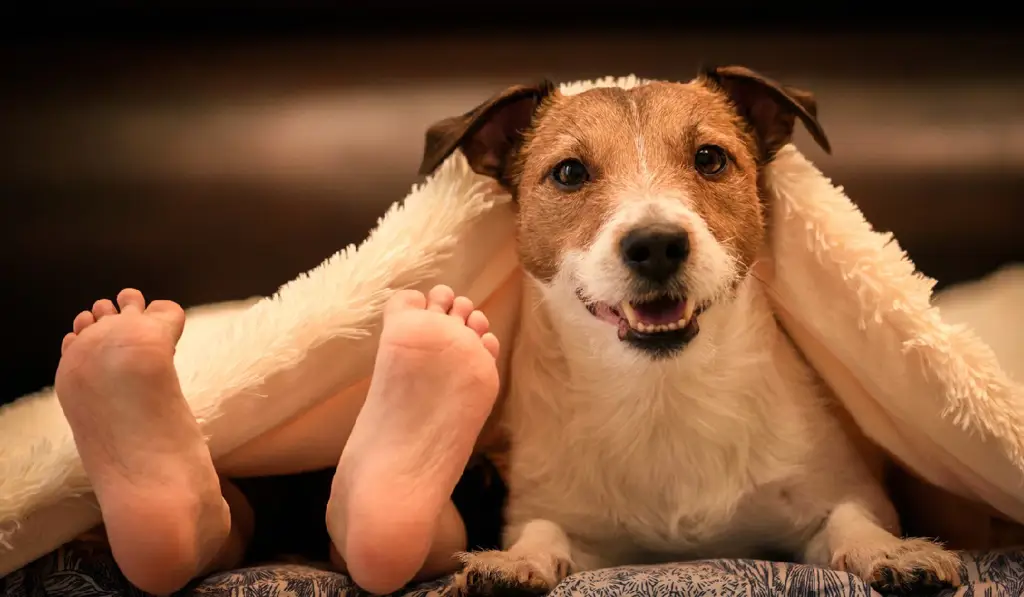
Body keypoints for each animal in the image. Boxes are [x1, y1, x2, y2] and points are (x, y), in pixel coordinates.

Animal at [413, 66, 958, 597]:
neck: (665, 393)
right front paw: (517, 561)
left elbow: (851, 518)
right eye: (569, 172)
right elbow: (542, 530)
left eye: (710, 158)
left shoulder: (834, 492)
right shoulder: (577, 525)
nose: (656, 245)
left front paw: (891, 552)